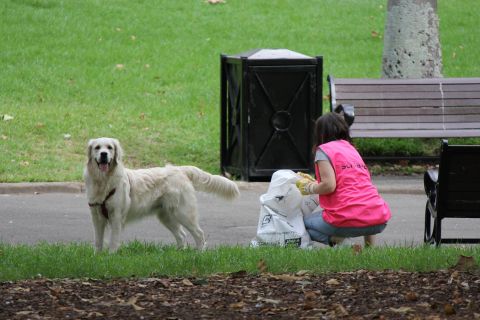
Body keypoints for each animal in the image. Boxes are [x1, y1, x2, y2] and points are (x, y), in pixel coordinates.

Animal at [84, 138, 240, 252]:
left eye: (109, 147)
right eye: (97, 147)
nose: (104, 154)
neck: (103, 181)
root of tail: (180, 169)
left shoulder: (116, 216)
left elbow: (113, 241)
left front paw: (111, 256)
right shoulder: (96, 216)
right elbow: (98, 240)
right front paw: (97, 257)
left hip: (183, 213)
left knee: (199, 234)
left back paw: (200, 254)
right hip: (167, 215)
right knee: (181, 235)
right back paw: (179, 253)